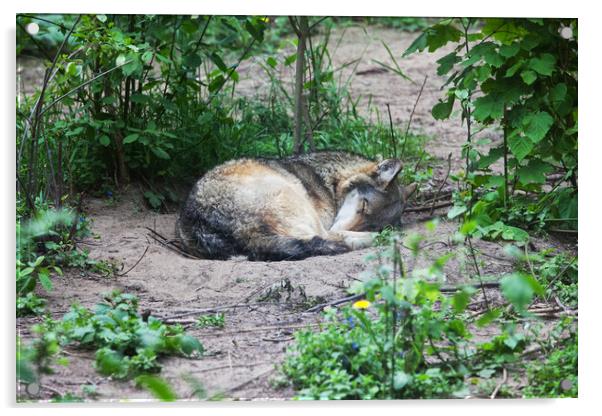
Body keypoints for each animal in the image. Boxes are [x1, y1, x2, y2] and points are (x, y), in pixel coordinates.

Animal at [176, 151, 406, 260]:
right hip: (294, 199)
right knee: (326, 237)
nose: (375, 230)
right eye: (363, 206)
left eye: (370, 221)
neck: (328, 181)